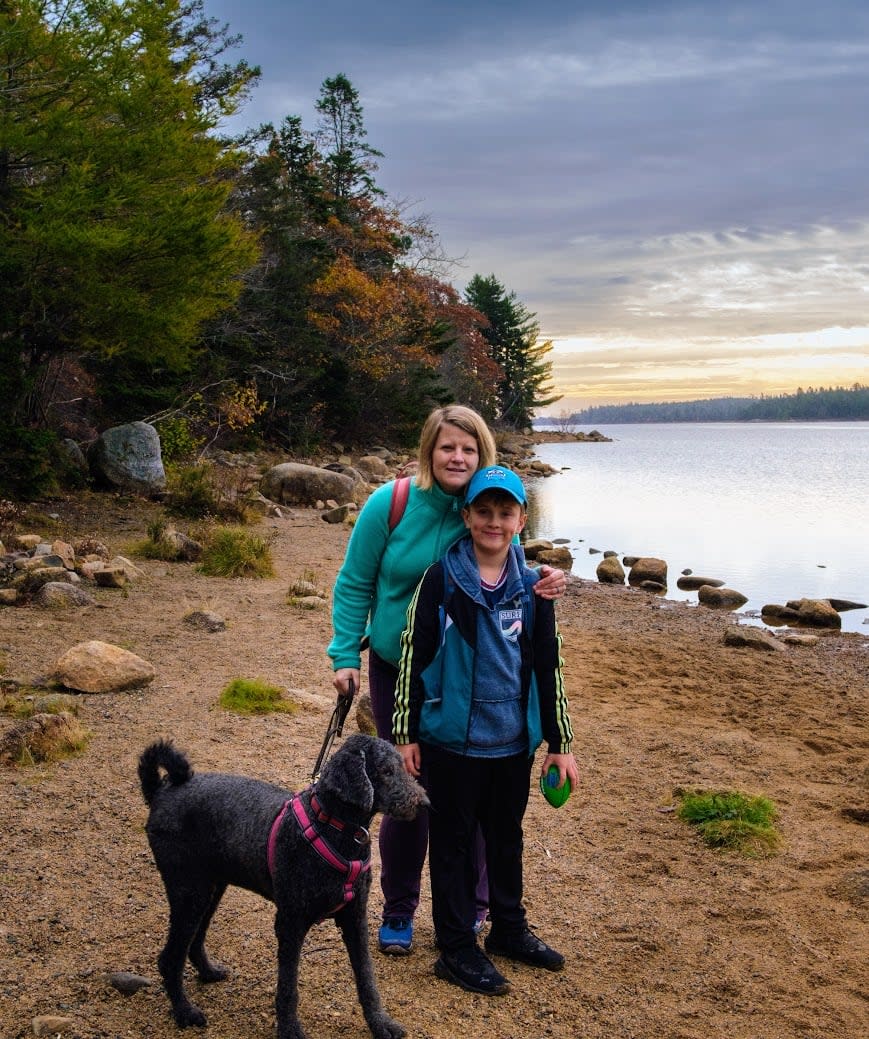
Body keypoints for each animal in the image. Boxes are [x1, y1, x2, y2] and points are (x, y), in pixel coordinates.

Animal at [136, 735, 430, 1039]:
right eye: (385, 771)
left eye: (402, 766)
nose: (425, 803)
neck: (332, 826)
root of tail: (161, 790)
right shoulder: (290, 923)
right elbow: (288, 987)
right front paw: (289, 1029)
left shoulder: (354, 918)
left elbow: (367, 979)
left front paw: (380, 1023)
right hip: (189, 891)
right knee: (170, 958)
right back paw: (184, 1011)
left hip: (211, 888)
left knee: (194, 941)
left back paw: (208, 972)